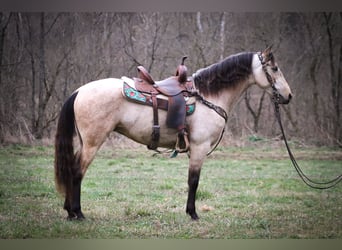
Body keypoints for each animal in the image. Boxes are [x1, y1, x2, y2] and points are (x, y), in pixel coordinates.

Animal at [54, 46, 292, 220]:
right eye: (275, 68)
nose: (288, 96)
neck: (208, 96)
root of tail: (79, 91)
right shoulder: (199, 148)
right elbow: (194, 181)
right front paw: (193, 214)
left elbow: (191, 181)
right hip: (93, 143)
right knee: (77, 172)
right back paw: (78, 213)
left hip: (84, 142)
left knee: (72, 170)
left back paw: (69, 211)